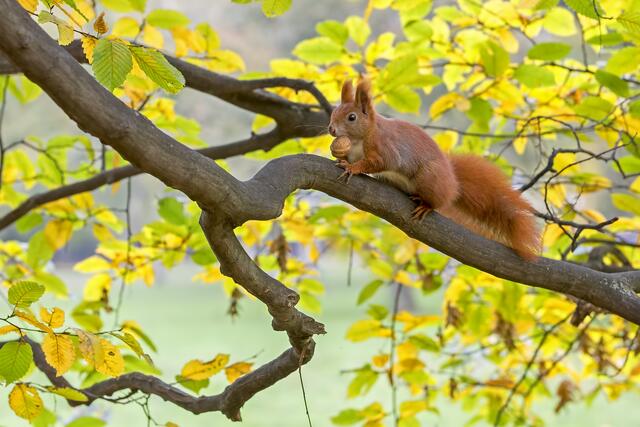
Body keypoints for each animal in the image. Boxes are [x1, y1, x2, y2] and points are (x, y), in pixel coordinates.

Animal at [328, 79, 540, 260]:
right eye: (333, 112)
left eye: (352, 117)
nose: (331, 129)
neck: (360, 138)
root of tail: (453, 184)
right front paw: (341, 157)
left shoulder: (385, 148)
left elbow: (378, 163)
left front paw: (352, 168)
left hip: (428, 178)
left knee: (437, 201)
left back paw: (426, 205)